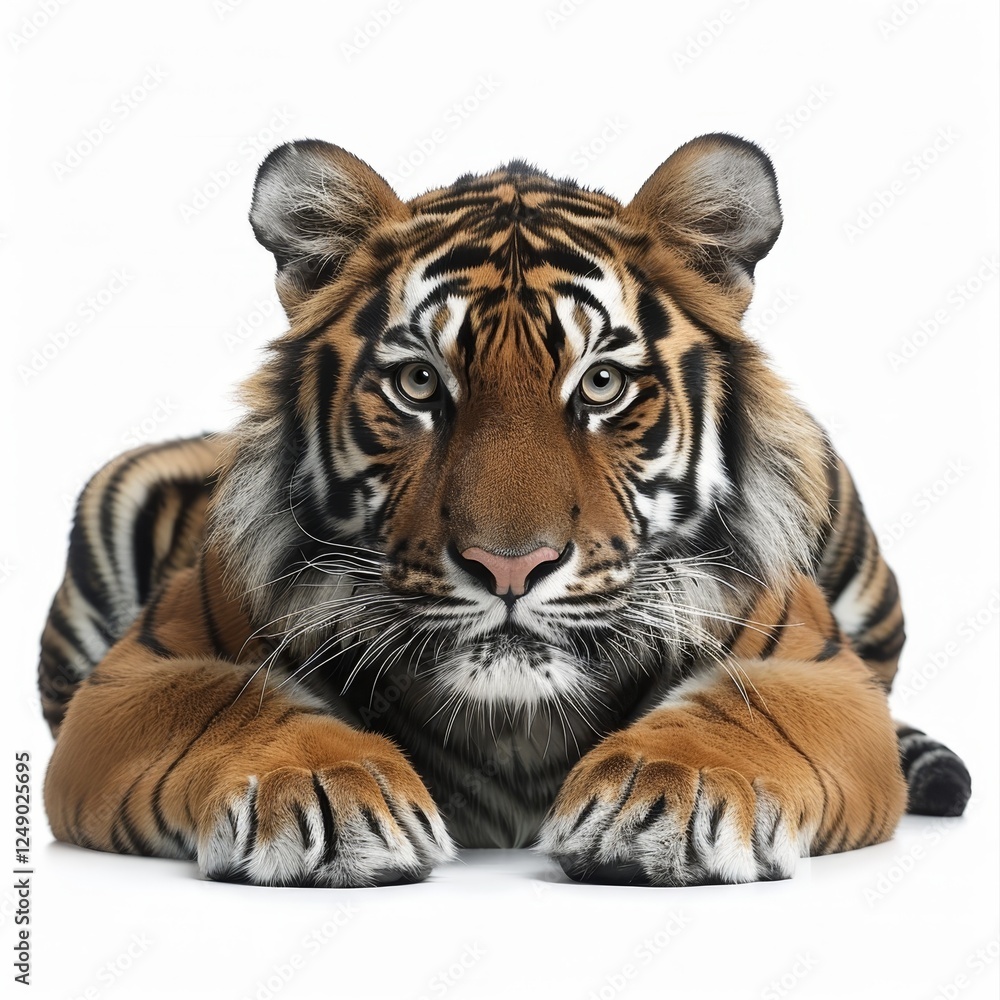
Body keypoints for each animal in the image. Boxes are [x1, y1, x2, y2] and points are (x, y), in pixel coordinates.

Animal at [39, 133, 971, 888]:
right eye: (420, 383)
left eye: (602, 383)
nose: (511, 567)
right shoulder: (140, 669)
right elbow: (232, 698)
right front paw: (321, 790)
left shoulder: (820, 668)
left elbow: (745, 708)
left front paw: (669, 796)